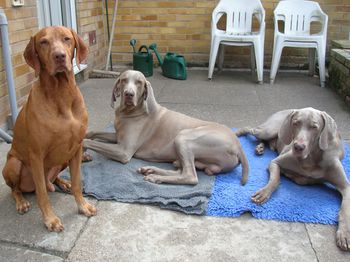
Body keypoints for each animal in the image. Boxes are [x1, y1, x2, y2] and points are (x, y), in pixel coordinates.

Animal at [2, 26, 97, 231]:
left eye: (67, 39)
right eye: (43, 42)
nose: (59, 56)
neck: (61, 93)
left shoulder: (76, 148)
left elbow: (77, 182)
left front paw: (82, 205)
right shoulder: (36, 155)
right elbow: (42, 194)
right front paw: (50, 220)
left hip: (63, 158)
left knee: (53, 180)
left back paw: (63, 182)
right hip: (14, 163)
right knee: (16, 189)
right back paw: (21, 202)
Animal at [237, 107, 350, 251]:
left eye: (314, 127)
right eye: (296, 123)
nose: (298, 147)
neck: (311, 158)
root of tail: (287, 109)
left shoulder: (345, 186)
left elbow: (345, 210)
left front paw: (344, 234)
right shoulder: (275, 162)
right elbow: (275, 180)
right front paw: (263, 193)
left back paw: (260, 147)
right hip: (268, 130)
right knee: (250, 129)